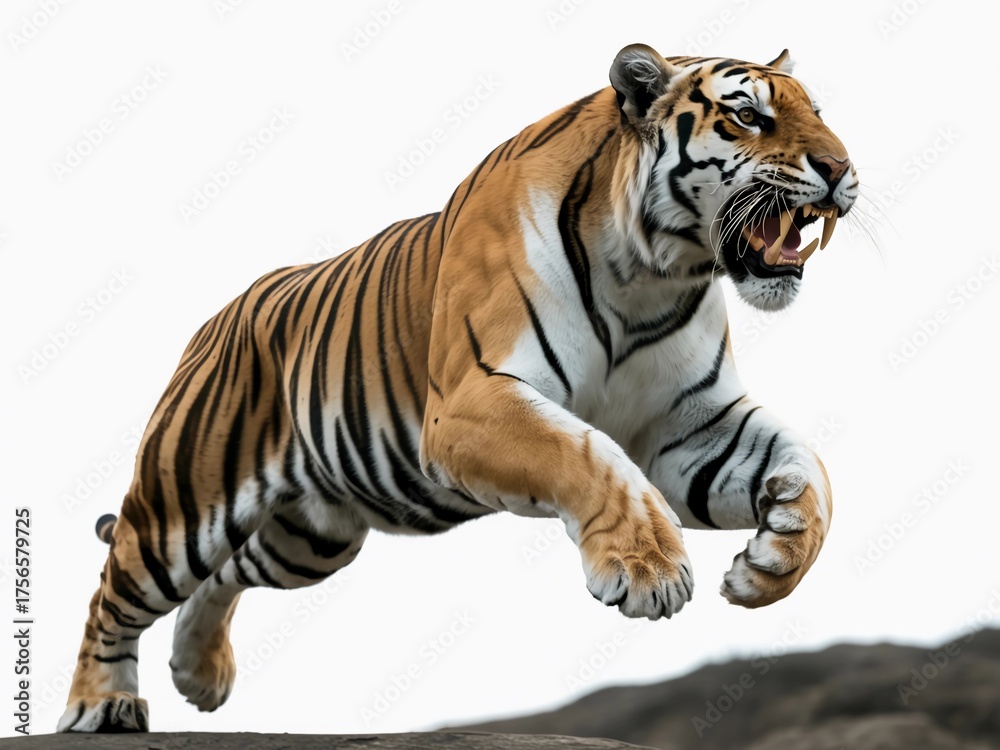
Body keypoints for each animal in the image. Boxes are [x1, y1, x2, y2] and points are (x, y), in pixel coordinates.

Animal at [58, 43, 856, 732]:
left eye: (818, 113)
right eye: (748, 115)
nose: (842, 168)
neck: (655, 271)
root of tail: (220, 315)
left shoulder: (690, 427)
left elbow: (809, 468)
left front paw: (771, 565)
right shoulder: (474, 402)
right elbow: (589, 456)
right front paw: (649, 571)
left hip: (312, 537)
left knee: (226, 573)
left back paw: (198, 671)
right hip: (181, 509)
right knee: (113, 590)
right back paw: (100, 704)